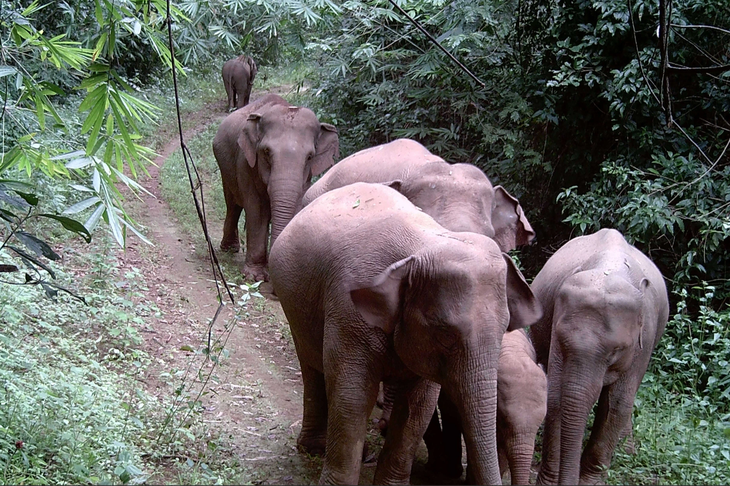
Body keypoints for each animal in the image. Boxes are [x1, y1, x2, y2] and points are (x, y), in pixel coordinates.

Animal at [209, 93, 336, 280]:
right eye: (266, 152)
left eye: (310, 157)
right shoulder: (245, 162)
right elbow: (256, 209)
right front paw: (254, 276)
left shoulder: (306, 178)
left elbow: (296, 206)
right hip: (224, 164)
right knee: (232, 203)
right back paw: (230, 248)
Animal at [528, 229, 668, 486]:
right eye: (562, 341)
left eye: (616, 350)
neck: (608, 270)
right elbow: (557, 396)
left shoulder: (645, 336)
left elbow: (617, 402)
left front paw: (589, 480)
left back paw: (627, 451)